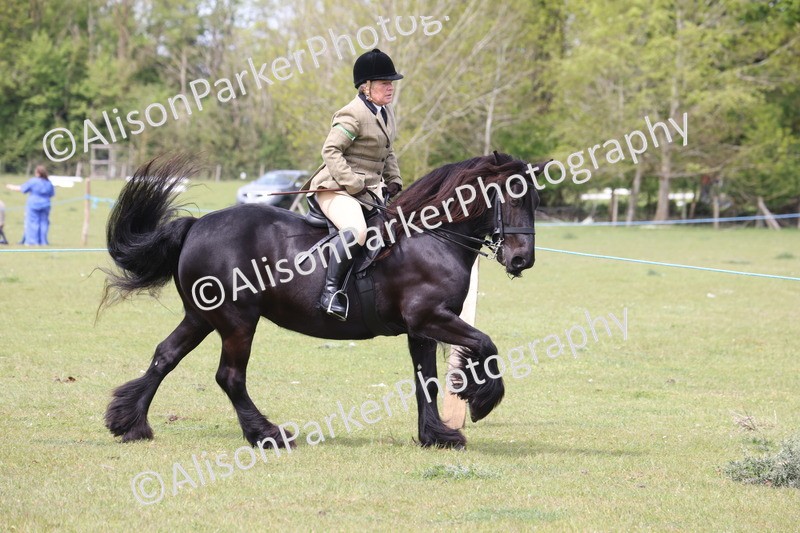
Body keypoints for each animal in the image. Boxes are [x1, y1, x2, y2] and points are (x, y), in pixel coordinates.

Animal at [101, 152, 542, 449]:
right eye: (511, 197)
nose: (522, 260)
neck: (430, 237)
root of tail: (196, 226)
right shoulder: (431, 317)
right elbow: (485, 343)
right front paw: (481, 399)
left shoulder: (421, 330)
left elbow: (426, 381)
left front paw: (435, 435)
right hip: (237, 321)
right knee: (230, 376)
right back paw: (268, 435)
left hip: (203, 316)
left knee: (165, 356)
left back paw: (131, 423)